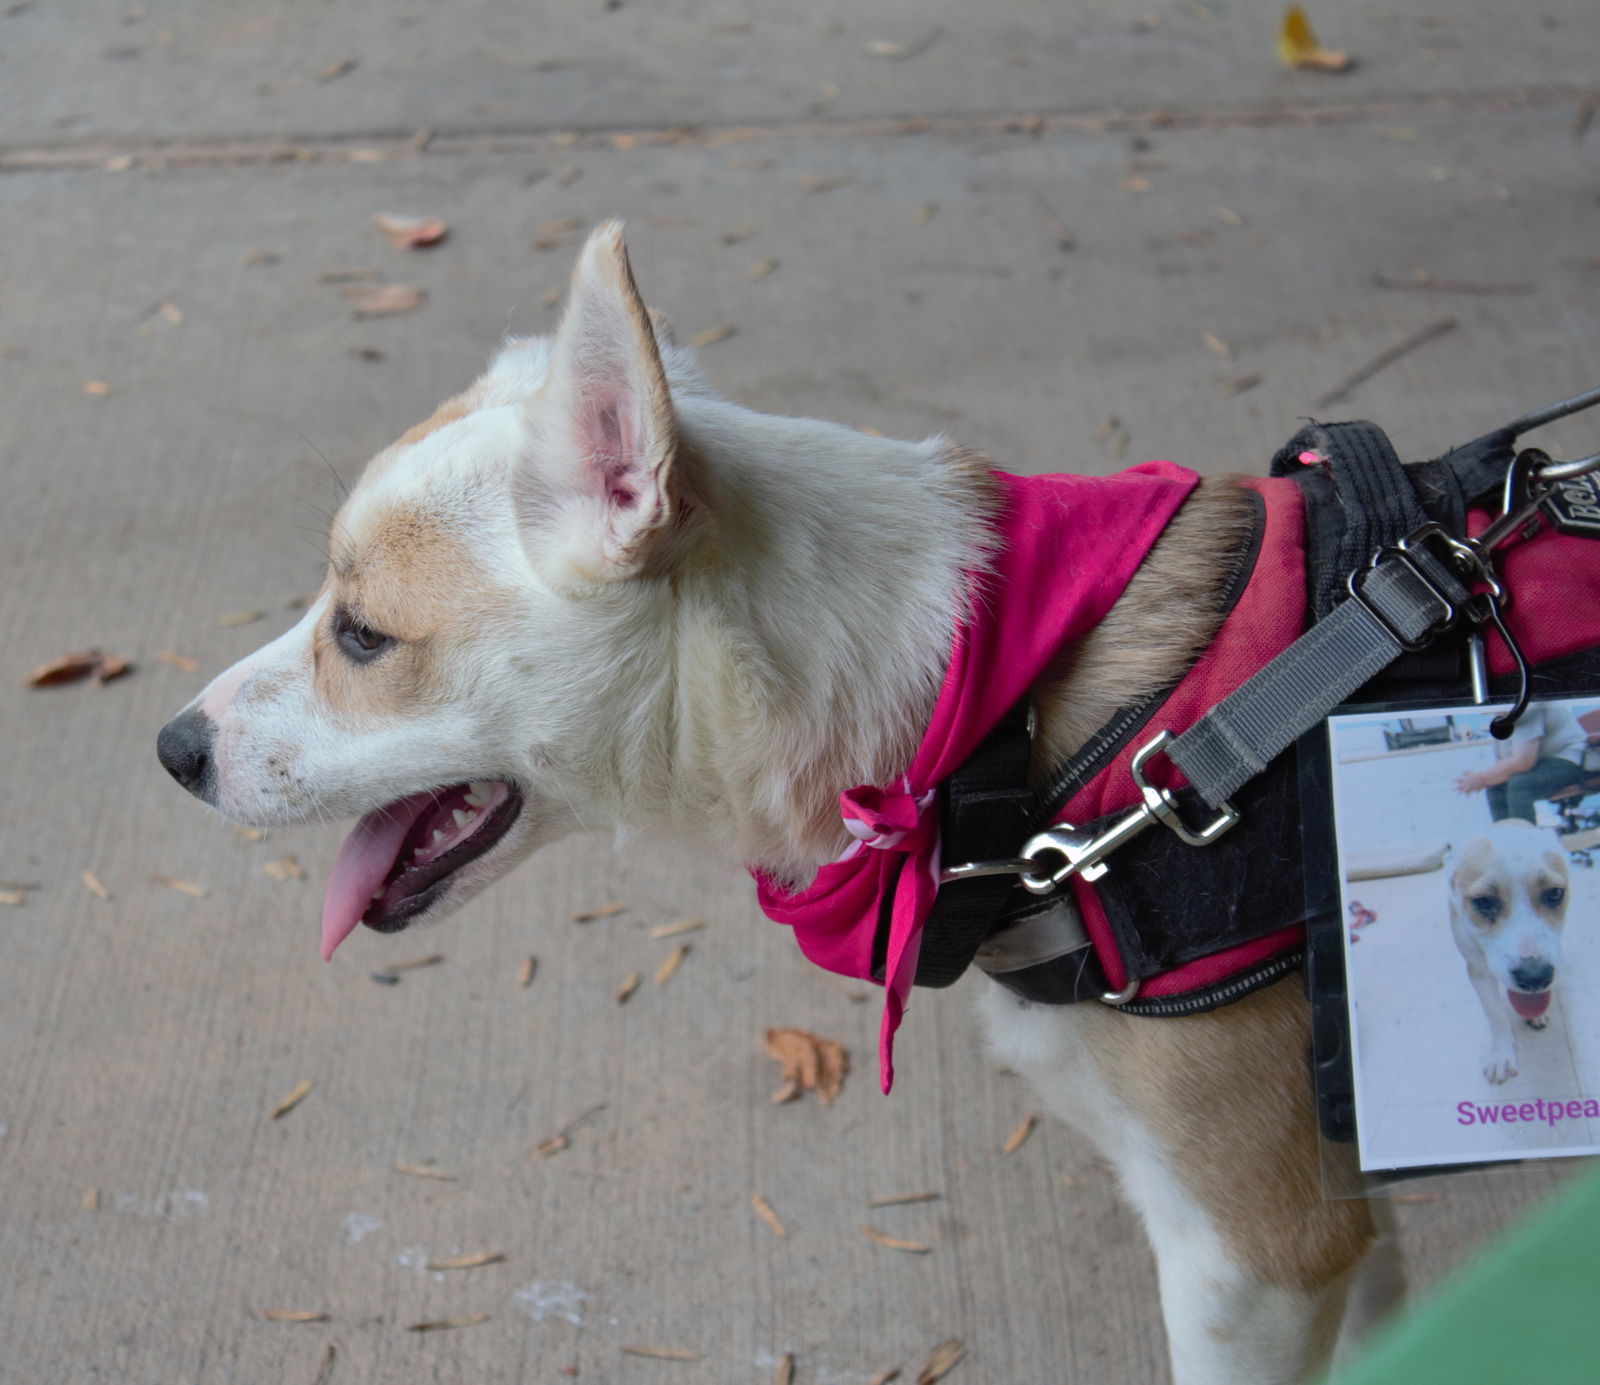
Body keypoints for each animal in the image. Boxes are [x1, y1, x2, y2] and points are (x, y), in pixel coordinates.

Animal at [1446, 815, 1568, 1087]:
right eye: (1483, 902)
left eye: (1555, 893)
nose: (1535, 977)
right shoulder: (1478, 971)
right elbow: (1495, 1014)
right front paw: (1502, 1055)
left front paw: (1539, 1012)